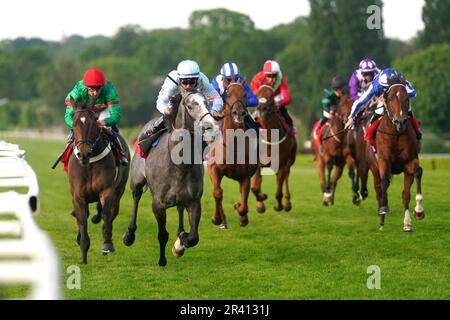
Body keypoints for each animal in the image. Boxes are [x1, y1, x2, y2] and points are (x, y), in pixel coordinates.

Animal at [67, 98, 130, 264]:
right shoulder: (78, 197)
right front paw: (83, 254)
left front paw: (107, 244)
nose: (83, 154)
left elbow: (106, 215)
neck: (89, 164)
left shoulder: (107, 190)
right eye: (74, 123)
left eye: (94, 123)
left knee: (111, 212)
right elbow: (82, 220)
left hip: (119, 191)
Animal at [121, 87, 216, 264]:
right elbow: (162, 234)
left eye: (207, 102)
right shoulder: (158, 204)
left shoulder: (194, 201)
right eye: (191, 105)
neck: (179, 165)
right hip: (136, 181)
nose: (210, 126)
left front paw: (180, 242)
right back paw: (129, 235)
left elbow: (193, 237)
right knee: (136, 197)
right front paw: (162, 260)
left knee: (179, 208)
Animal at [207, 77, 256, 228]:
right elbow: (217, 192)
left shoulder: (246, 175)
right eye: (228, 94)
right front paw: (216, 218)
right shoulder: (214, 168)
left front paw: (240, 212)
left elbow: (244, 202)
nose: (238, 113)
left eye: (245, 95)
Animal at [251, 85, 298, 214]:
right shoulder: (258, 163)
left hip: (289, 162)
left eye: (271, 97)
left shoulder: (282, 164)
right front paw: (261, 202)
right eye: (257, 95)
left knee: (286, 177)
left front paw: (279, 206)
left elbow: (278, 190)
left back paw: (287, 204)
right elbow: (255, 186)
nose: (260, 110)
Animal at [366, 82, 426, 231]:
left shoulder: (410, 161)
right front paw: (384, 209)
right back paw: (381, 221)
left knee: (405, 194)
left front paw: (419, 212)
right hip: (374, 168)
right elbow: (384, 182)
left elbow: (417, 173)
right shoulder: (383, 161)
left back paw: (407, 223)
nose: (401, 121)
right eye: (390, 98)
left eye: (407, 99)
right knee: (379, 189)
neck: (396, 133)